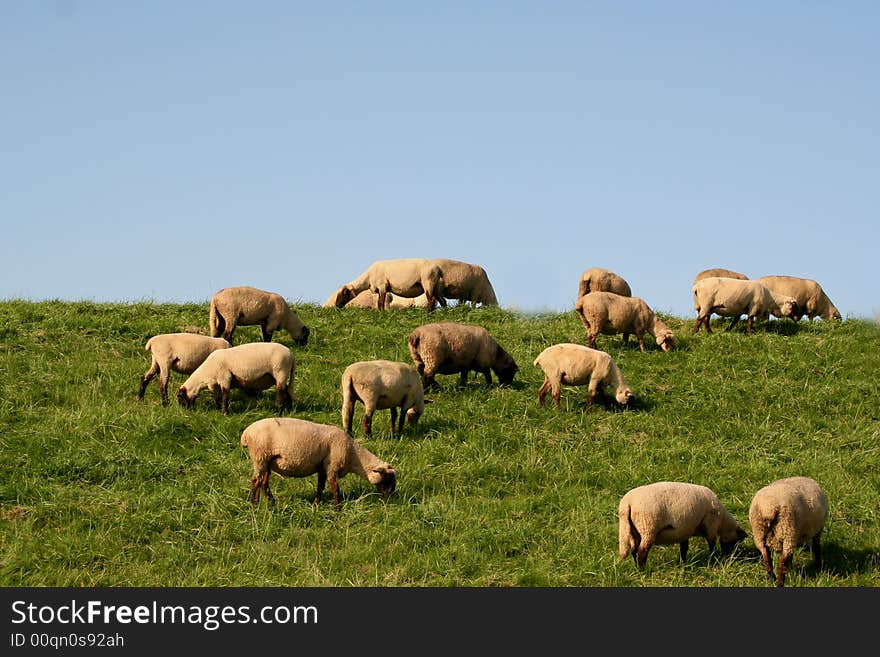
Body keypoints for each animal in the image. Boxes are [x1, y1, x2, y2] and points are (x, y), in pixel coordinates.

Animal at [237, 416, 396, 508]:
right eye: (387, 478)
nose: (391, 496)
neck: (353, 455)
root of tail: (246, 434)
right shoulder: (332, 466)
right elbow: (335, 487)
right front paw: (338, 507)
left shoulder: (323, 467)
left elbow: (320, 486)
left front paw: (316, 504)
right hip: (260, 456)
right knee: (256, 481)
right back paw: (255, 505)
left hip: (267, 461)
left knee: (264, 482)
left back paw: (271, 502)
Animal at [616, 480, 744, 568]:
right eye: (736, 542)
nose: (729, 557)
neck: (722, 522)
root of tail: (627, 503)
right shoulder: (710, 525)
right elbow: (711, 545)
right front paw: (713, 560)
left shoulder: (684, 530)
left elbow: (684, 548)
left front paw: (683, 563)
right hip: (648, 527)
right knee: (642, 551)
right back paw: (643, 571)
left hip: (633, 530)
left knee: (634, 550)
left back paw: (637, 568)